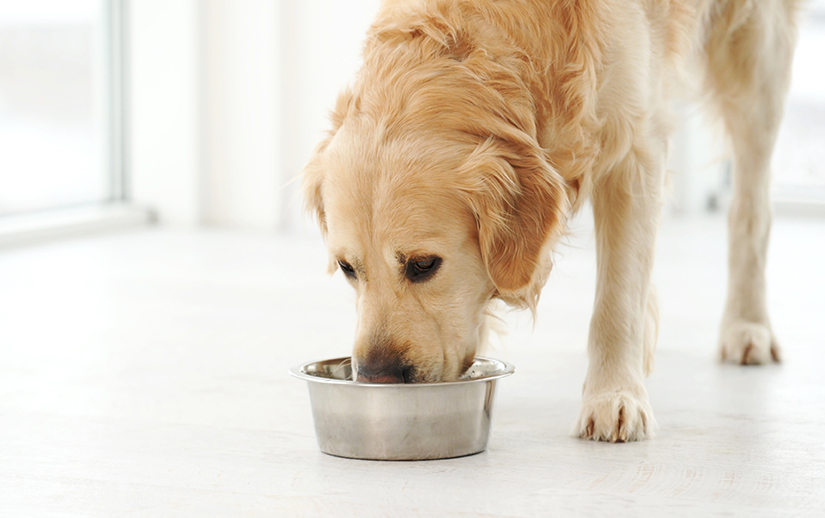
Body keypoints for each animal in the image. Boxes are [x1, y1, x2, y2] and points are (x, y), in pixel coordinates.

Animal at [300, 0, 800, 444]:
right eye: (347, 268)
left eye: (424, 265)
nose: (375, 378)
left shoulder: (635, 151)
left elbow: (617, 300)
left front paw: (614, 396)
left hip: (757, 58)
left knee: (751, 207)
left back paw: (747, 327)